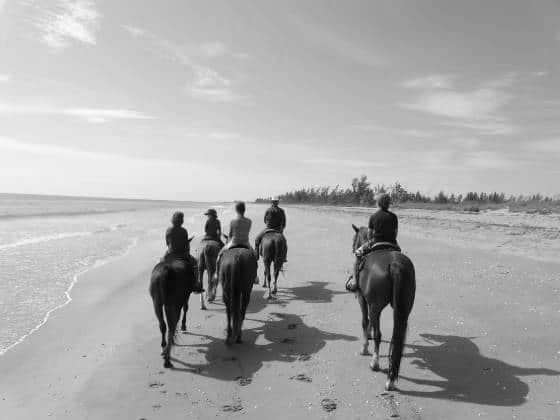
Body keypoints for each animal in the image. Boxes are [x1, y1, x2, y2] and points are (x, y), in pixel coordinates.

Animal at [352, 225, 414, 392]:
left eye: (354, 240)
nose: (354, 250)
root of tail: (395, 265)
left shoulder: (362, 299)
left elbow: (364, 321)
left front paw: (365, 347)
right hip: (404, 310)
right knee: (397, 339)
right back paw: (391, 379)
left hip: (375, 306)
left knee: (378, 334)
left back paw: (375, 362)